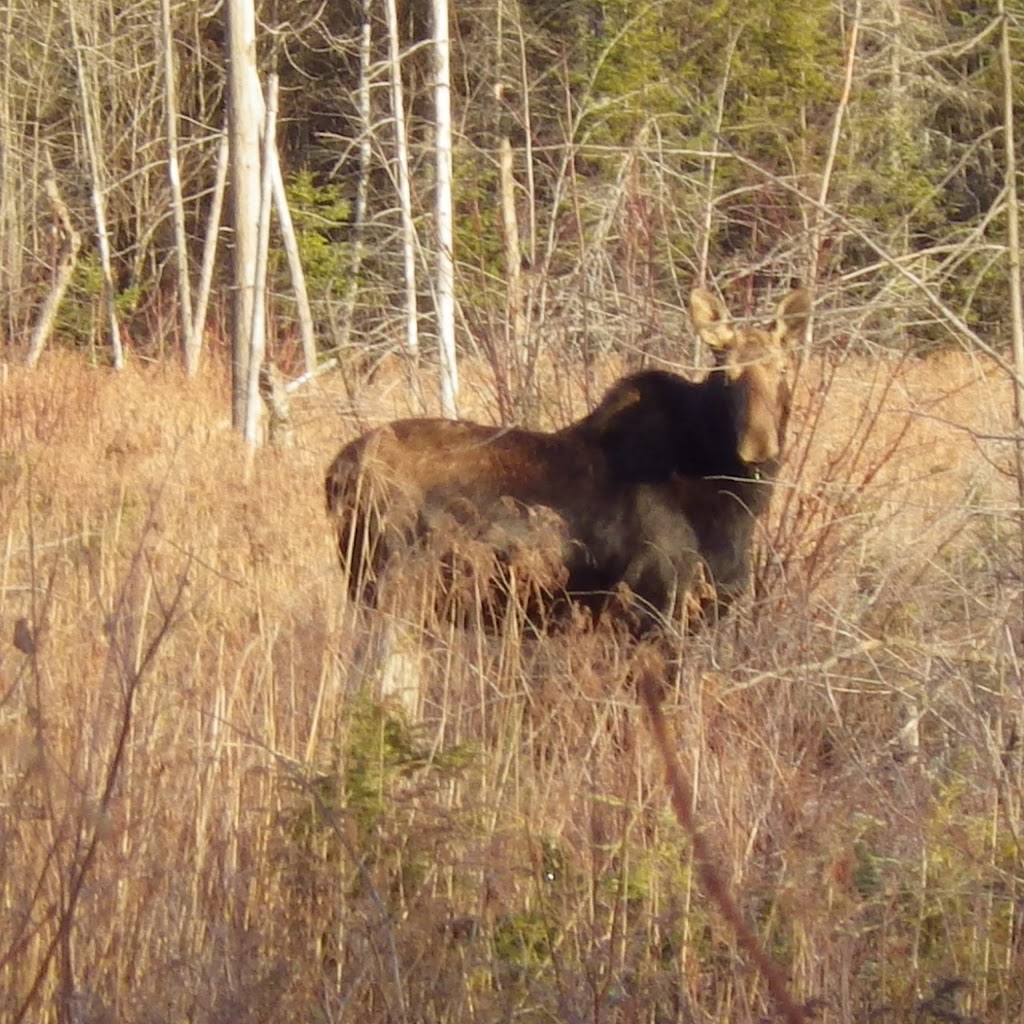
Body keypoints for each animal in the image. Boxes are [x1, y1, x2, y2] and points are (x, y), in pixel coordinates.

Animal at [323, 284, 811, 626]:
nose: (758, 446)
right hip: (388, 591)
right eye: (726, 373)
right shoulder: (653, 604)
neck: (733, 502)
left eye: (784, 369)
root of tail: (334, 475)